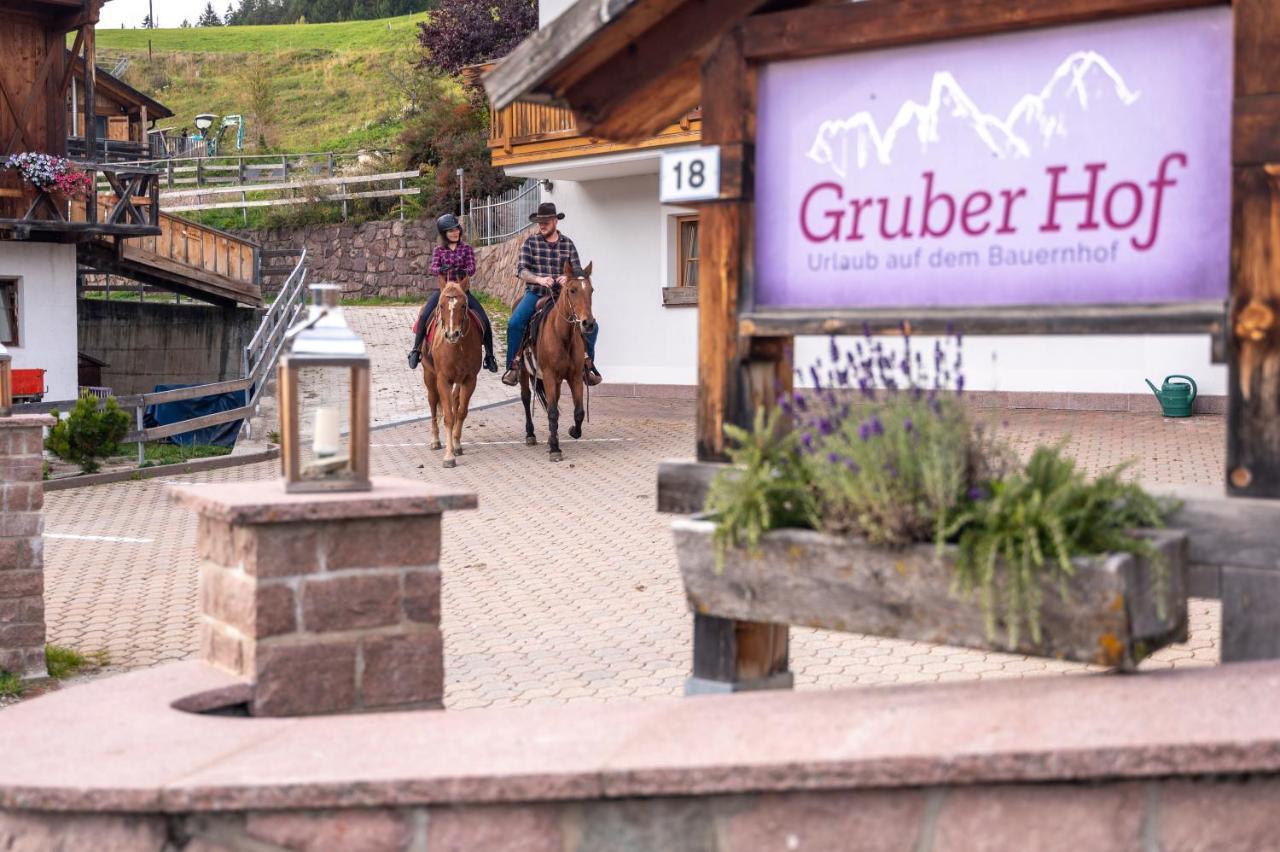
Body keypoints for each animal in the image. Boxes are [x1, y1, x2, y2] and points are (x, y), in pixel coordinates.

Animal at [422, 277, 481, 465]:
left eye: (463, 305)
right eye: (441, 306)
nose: (451, 334)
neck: (457, 347)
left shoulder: (470, 380)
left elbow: (461, 412)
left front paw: (456, 445)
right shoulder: (443, 380)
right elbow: (448, 416)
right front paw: (449, 456)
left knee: (455, 402)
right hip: (429, 376)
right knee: (433, 402)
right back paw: (435, 440)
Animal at [517, 258, 596, 460]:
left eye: (591, 290)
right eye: (572, 290)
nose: (588, 323)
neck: (563, 336)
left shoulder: (575, 376)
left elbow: (579, 412)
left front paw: (572, 431)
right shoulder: (550, 376)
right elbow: (552, 412)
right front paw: (555, 449)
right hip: (524, 372)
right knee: (526, 398)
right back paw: (530, 434)